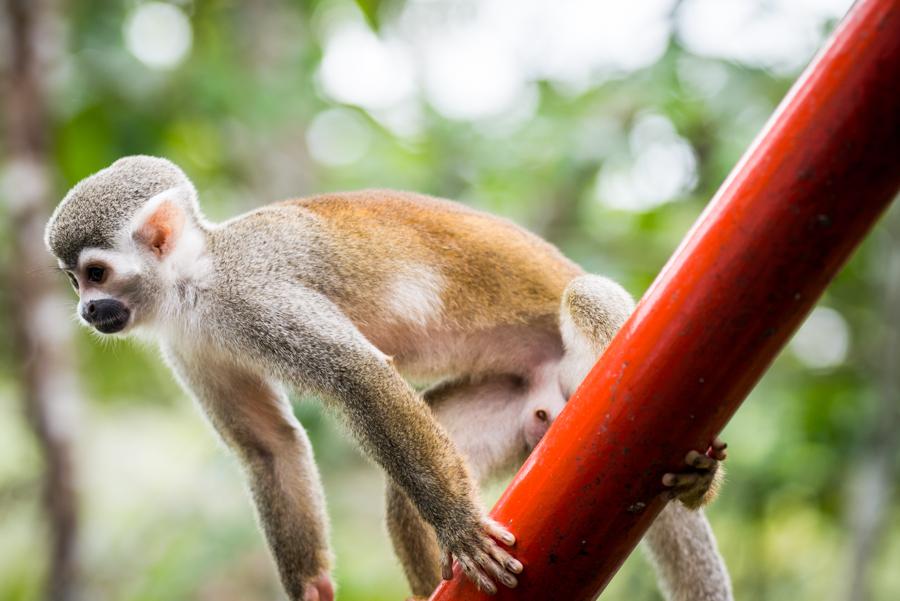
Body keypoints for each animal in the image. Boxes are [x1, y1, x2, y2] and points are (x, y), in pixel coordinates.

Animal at [45, 157, 732, 596]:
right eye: (73, 281)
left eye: (97, 274)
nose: (86, 310)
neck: (194, 282)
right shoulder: (186, 342)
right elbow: (267, 446)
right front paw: (311, 588)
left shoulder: (255, 295)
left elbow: (358, 376)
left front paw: (457, 524)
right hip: (529, 406)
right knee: (404, 497)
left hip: (589, 378)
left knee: (585, 295)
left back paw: (698, 479)